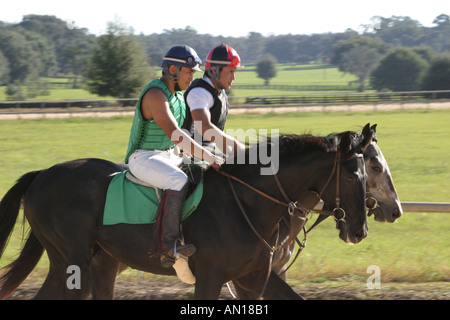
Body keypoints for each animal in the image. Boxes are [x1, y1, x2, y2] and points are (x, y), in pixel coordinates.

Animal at [0, 125, 372, 300]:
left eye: (368, 173)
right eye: (352, 175)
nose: (360, 231)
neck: (248, 203)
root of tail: (42, 174)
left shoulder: (253, 278)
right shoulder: (210, 277)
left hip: (91, 262)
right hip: (73, 262)